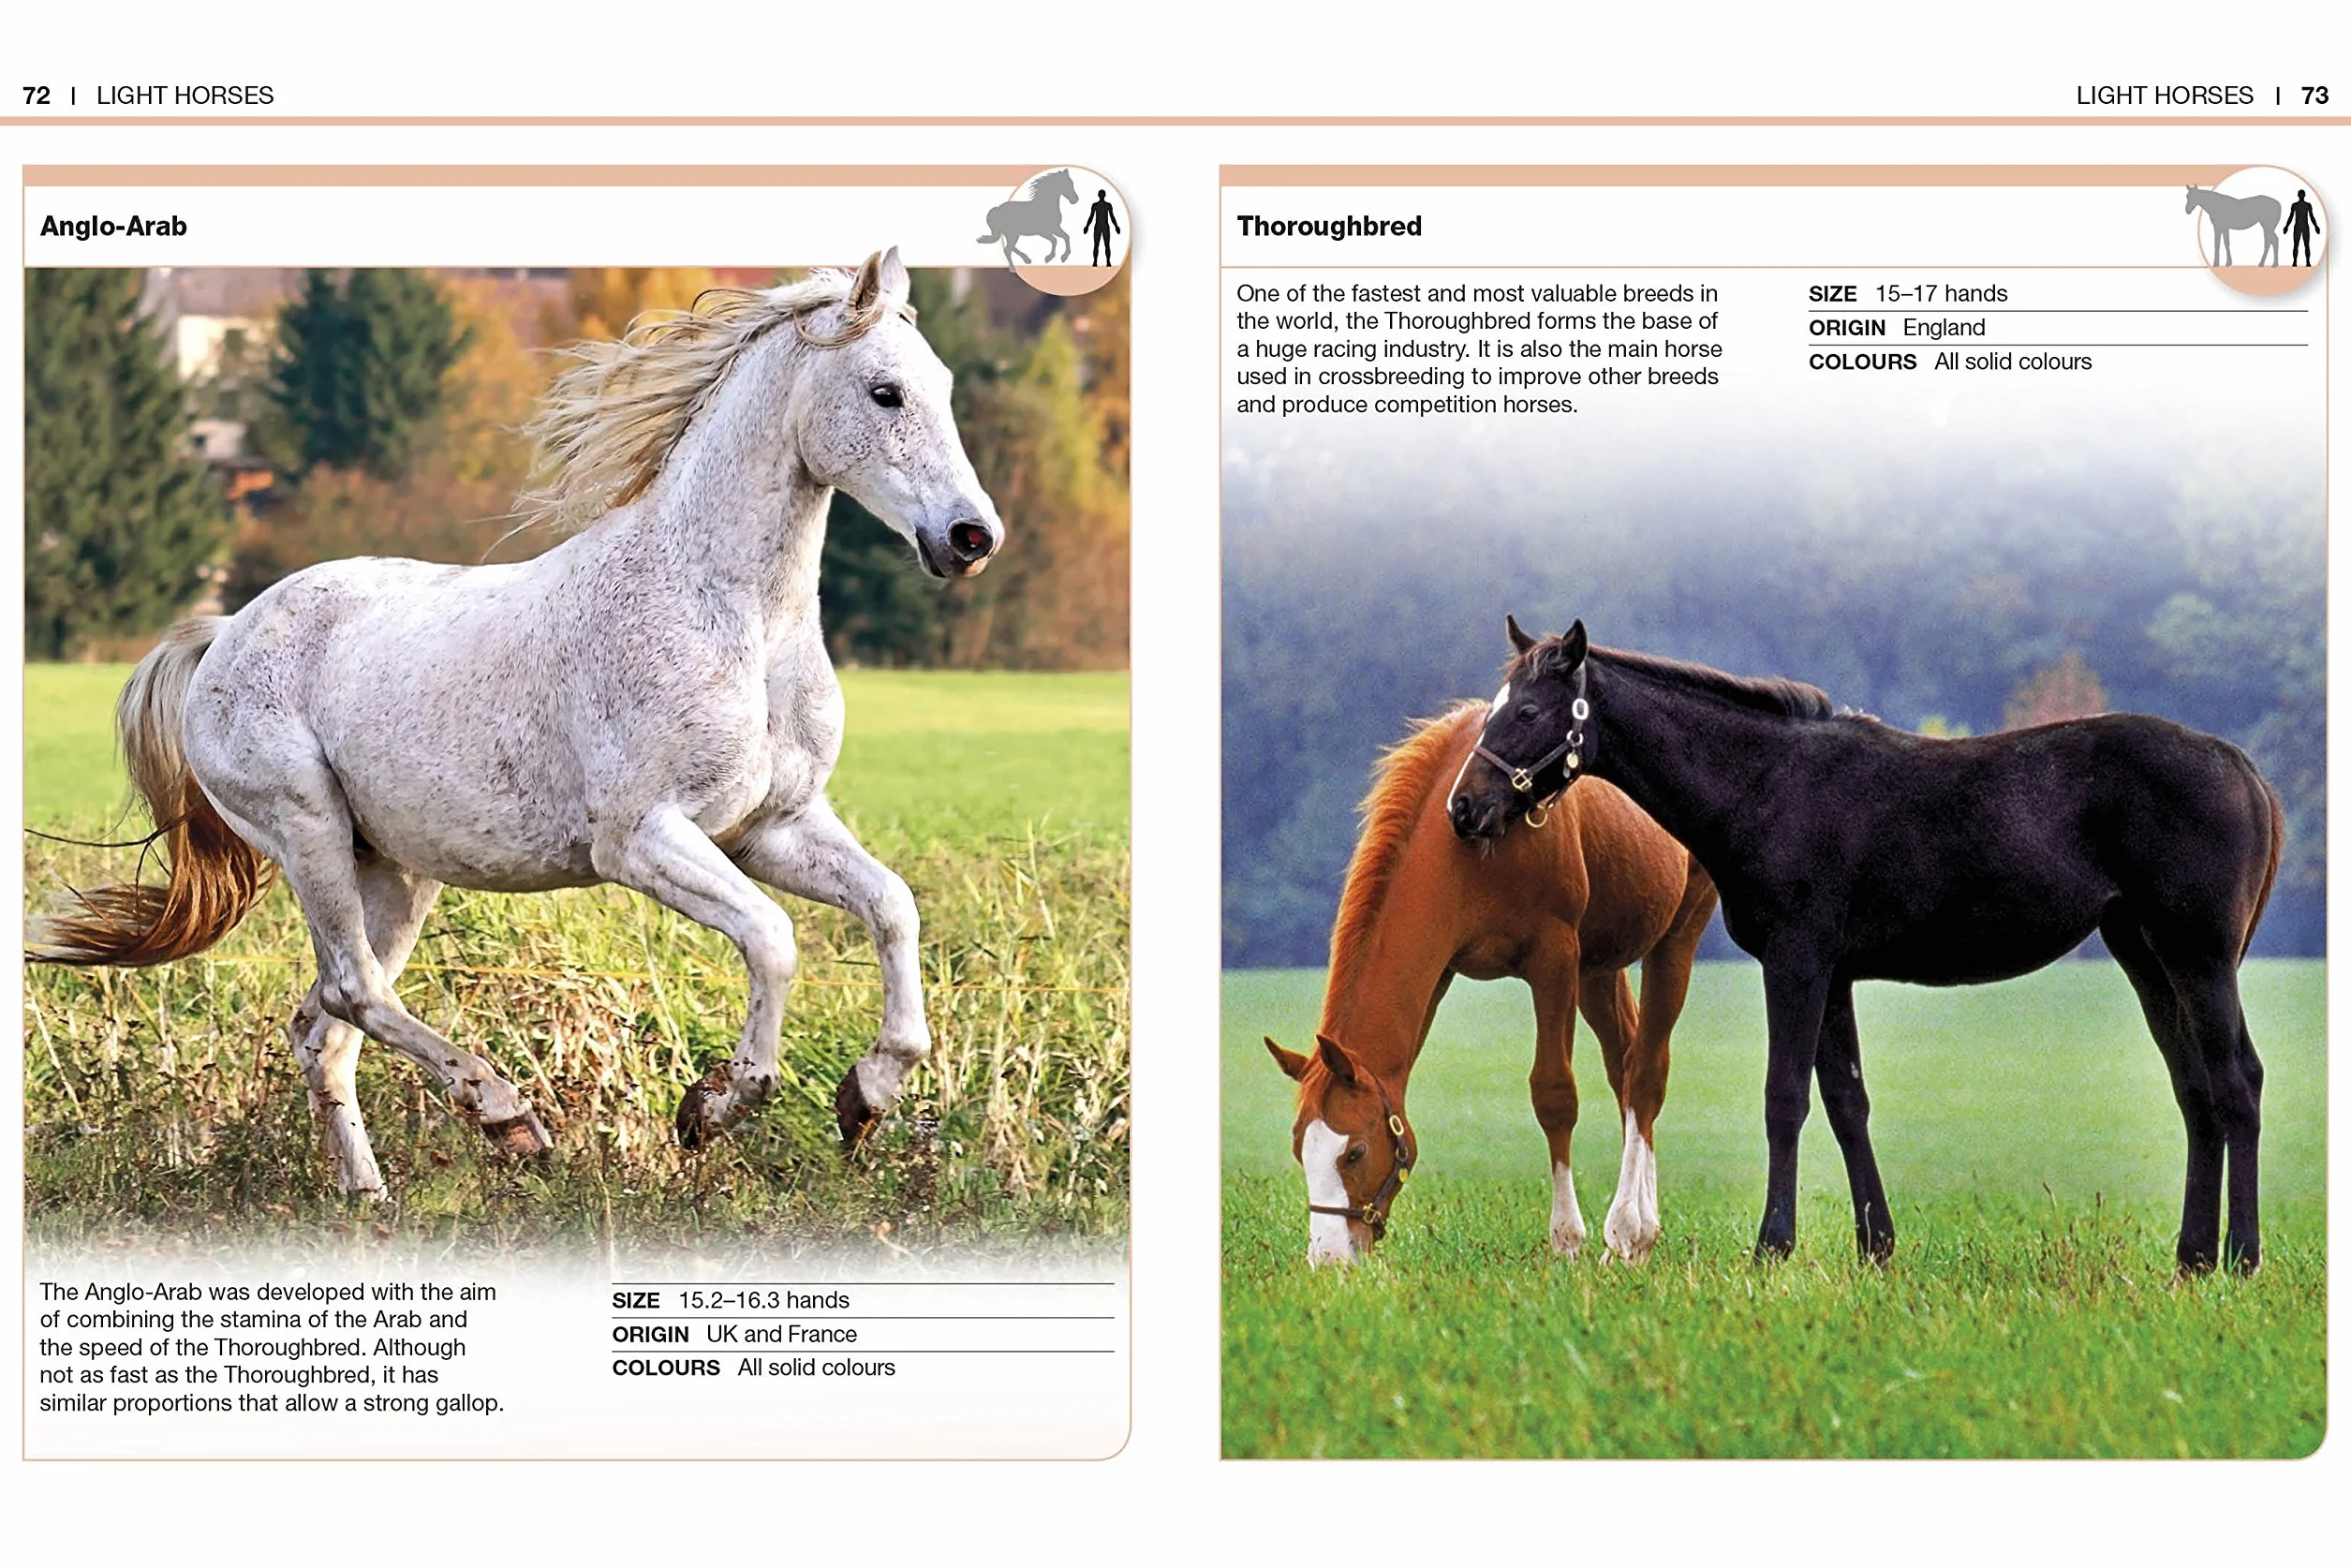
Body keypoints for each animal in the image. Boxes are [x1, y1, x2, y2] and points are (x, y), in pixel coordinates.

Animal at [28, 249, 1005, 1198]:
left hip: (392, 870)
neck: (735, 619)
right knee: (353, 992)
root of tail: (225, 633)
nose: (971, 538)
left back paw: (369, 1197)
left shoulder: (774, 827)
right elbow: (772, 939)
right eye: (885, 391)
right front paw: (714, 1108)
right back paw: (508, 1117)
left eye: (944, 385)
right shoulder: (643, 840)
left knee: (323, 1025)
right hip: (307, 832)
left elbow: (893, 909)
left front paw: (866, 1096)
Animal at [1262, 702, 1717, 1267]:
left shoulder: (1554, 959)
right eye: (1300, 1148)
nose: (1329, 1258)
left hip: (1676, 937)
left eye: (1355, 1152)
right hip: (1599, 967)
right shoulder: (1441, 969)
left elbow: (1554, 1094)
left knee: (1648, 1073)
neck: (1469, 846)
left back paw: (1632, 1227)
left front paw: (1567, 1240)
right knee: (1626, 1067)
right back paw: (1633, 1237)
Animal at [1452, 618, 2283, 1276]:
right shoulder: (1836, 975)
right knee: (2196, 1090)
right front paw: (1875, 1246)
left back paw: (2240, 1257)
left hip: (2199, 959)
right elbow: (1847, 1100)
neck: (1766, 785)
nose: (1465, 808)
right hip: (2148, 957)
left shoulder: (1797, 963)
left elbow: (1785, 1099)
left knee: (2237, 1082)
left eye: (1527, 710)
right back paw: (2192, 1257)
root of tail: (2245, 770)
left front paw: (1773, 1246)